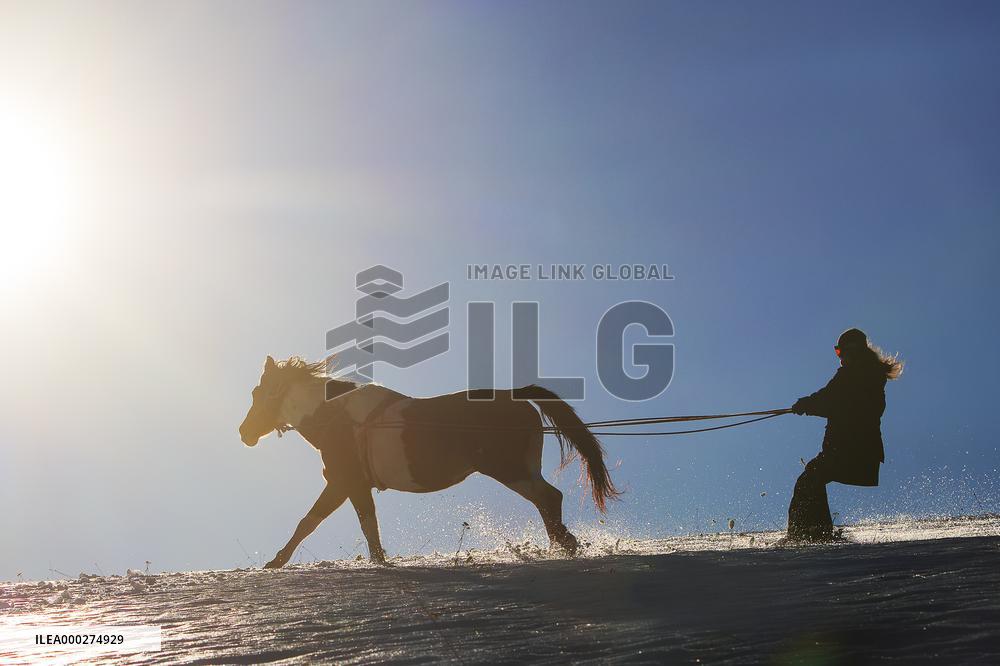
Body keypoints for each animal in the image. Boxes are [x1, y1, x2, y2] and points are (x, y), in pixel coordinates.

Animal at [238, 356, 619, 568]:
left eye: (258, 394)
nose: (244, 432)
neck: (338, 418)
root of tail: (515, 396)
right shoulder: (354, 487)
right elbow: (367, 527)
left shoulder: (343, 482)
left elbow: (311, 522)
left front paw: (275, 561)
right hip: (519, 471)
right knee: (547, 500)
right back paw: (562, 543)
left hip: (509, 470)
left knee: (549, 498)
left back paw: (564, 545)